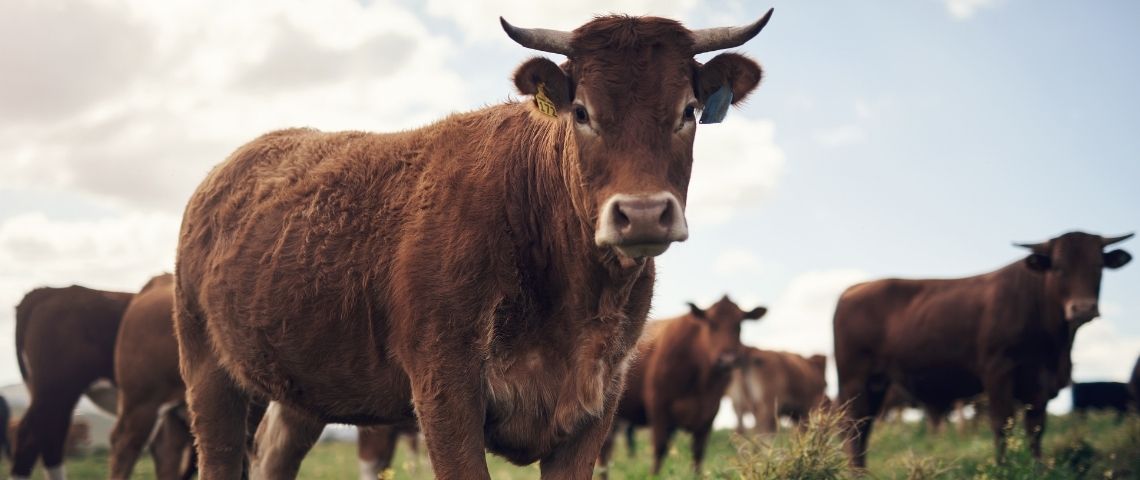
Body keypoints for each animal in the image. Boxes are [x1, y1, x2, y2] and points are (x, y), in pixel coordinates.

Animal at [597, 296, 766, 476]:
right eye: (711, 323)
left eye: (739, 325)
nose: (727, 360)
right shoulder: (659, 407)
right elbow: (659, 448)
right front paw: (654, 476)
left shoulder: (709, 414)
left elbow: (698, 453)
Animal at [834, 231, 1133, 468]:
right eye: (1058, 268)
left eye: (1098, 266)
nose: (1082, 308)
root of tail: (854, 289)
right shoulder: (998, 372)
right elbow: (1001, 424)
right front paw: (1004, 468)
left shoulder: (1040, 382)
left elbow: (1036, 428)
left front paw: (1037, 468)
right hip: (855, 381)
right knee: (853, 429)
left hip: (877, 385)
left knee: (863, 429)